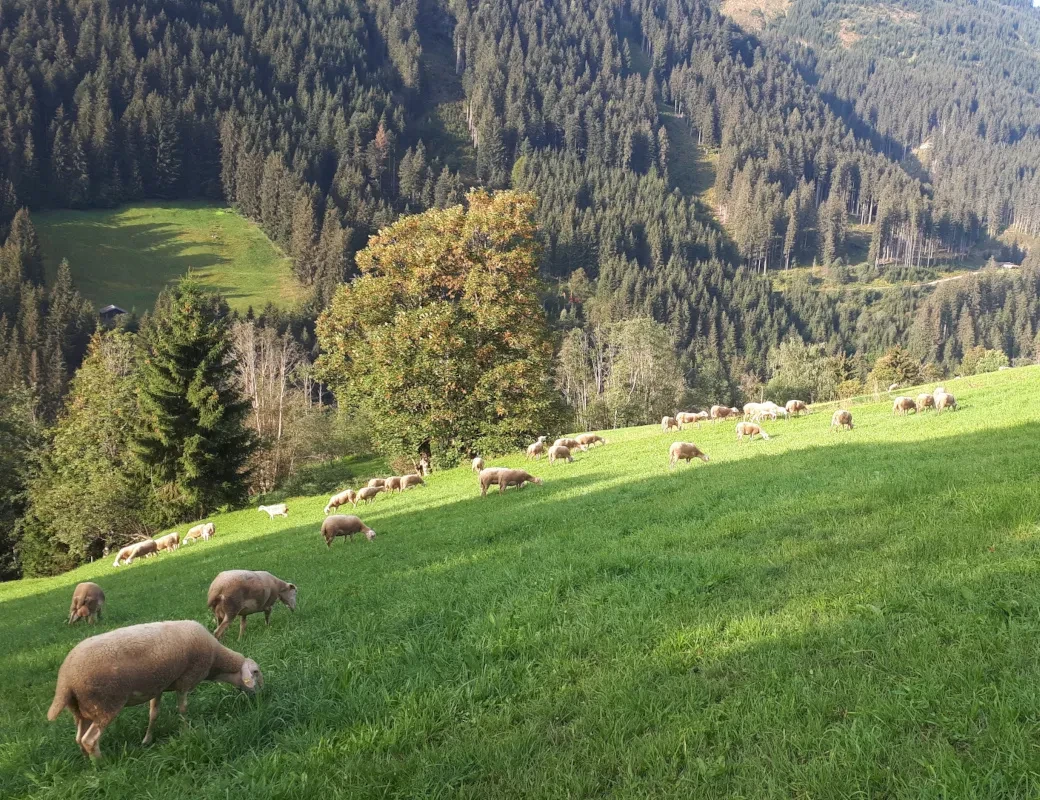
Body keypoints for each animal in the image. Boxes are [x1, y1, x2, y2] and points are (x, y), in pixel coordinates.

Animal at [47, 620, 262, 757]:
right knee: (90, 740)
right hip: (105, 704)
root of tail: (65, 680)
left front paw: (147, 739)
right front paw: (186, 733)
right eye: (256, 672)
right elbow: (183, 710)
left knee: (79, 738)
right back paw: (102, 765)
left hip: (82, 709)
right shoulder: (185, 681)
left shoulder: (158, 687)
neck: (215, 661)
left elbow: (154, 714)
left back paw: (89, 763)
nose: (260, 695)